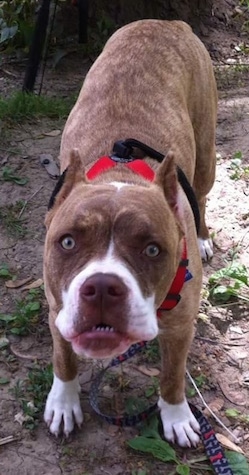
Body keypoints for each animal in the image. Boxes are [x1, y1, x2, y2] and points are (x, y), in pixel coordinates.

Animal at [43, 20, 217, 448]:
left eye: (153, 250)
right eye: (67, 242)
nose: (103, 288)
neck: (119, 175)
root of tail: (167, 22)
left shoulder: (180, 326)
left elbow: (172, 377)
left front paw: (176, 416)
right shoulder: (57, 308)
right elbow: (63, 357)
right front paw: (64, 402)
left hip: (207, 157)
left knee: (202, 194)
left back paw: (203, 236)